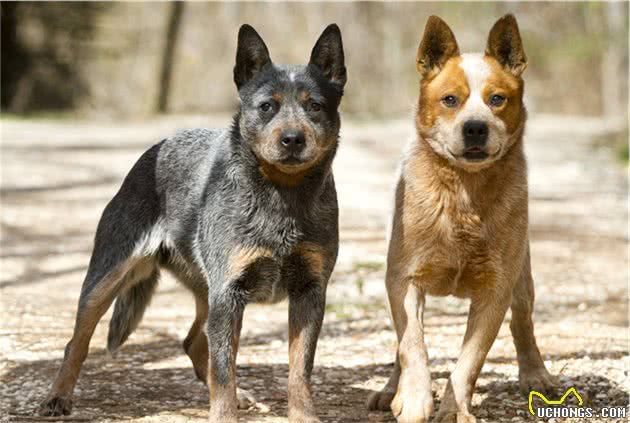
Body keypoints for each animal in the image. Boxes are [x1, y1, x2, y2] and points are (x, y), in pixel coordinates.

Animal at [39, 24, 348, 423]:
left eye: (315, 106)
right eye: (267, 106)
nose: (292, 139)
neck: (282, 197)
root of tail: (155, 149)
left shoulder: (309, 291)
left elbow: (299, 370)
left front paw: (303, 415)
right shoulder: (229, 293)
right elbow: (224, 370)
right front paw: (224, 415)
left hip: (205, 289)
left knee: (192, 341)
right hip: (108, 277)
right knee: (76, 341)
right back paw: (57, 397)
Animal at [370, 14, 556, 423]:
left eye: (497, 99)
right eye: (450, 100)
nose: (475, 127)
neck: (463, 195)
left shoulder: (495, 289)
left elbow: (470, 361)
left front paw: (454, 410)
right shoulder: (404, 278)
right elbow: (412, 344)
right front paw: (413, 400)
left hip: (523, 276)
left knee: (523, 322)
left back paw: (536, 375)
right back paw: (391, 390)